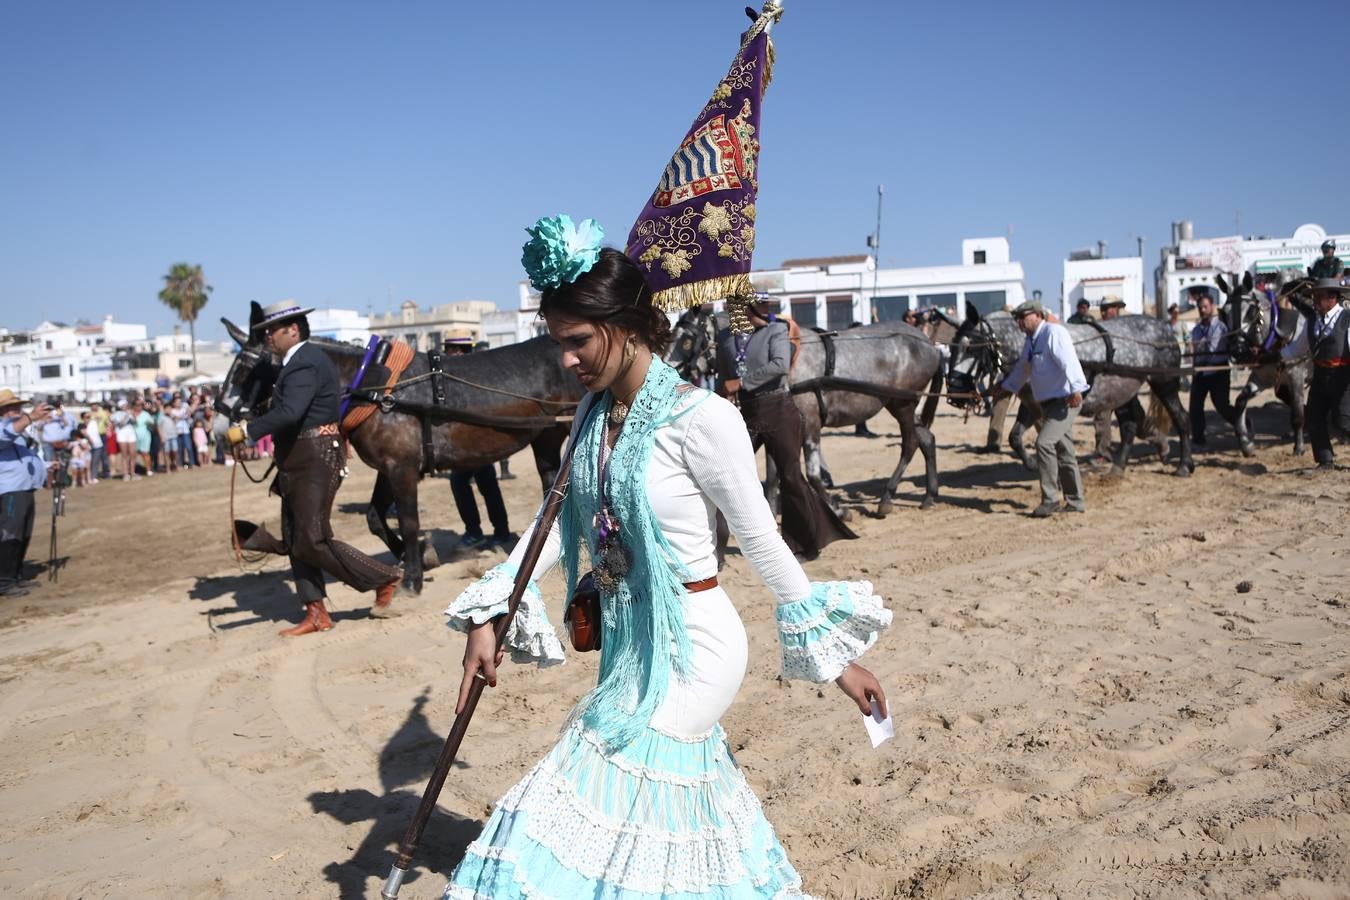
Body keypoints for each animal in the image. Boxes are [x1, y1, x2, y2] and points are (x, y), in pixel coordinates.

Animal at [945, 311, 1198, 477]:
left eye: (971, 348)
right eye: (952, 346)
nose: (955, 392)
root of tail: (1165, 328)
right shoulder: (1032, 404)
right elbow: (1015, 437)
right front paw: (1033, 464)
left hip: (1164, 383)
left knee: (1181, 418)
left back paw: (1184, 465)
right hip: (1122, 391)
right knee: (1129, 426)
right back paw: (1119, 468)